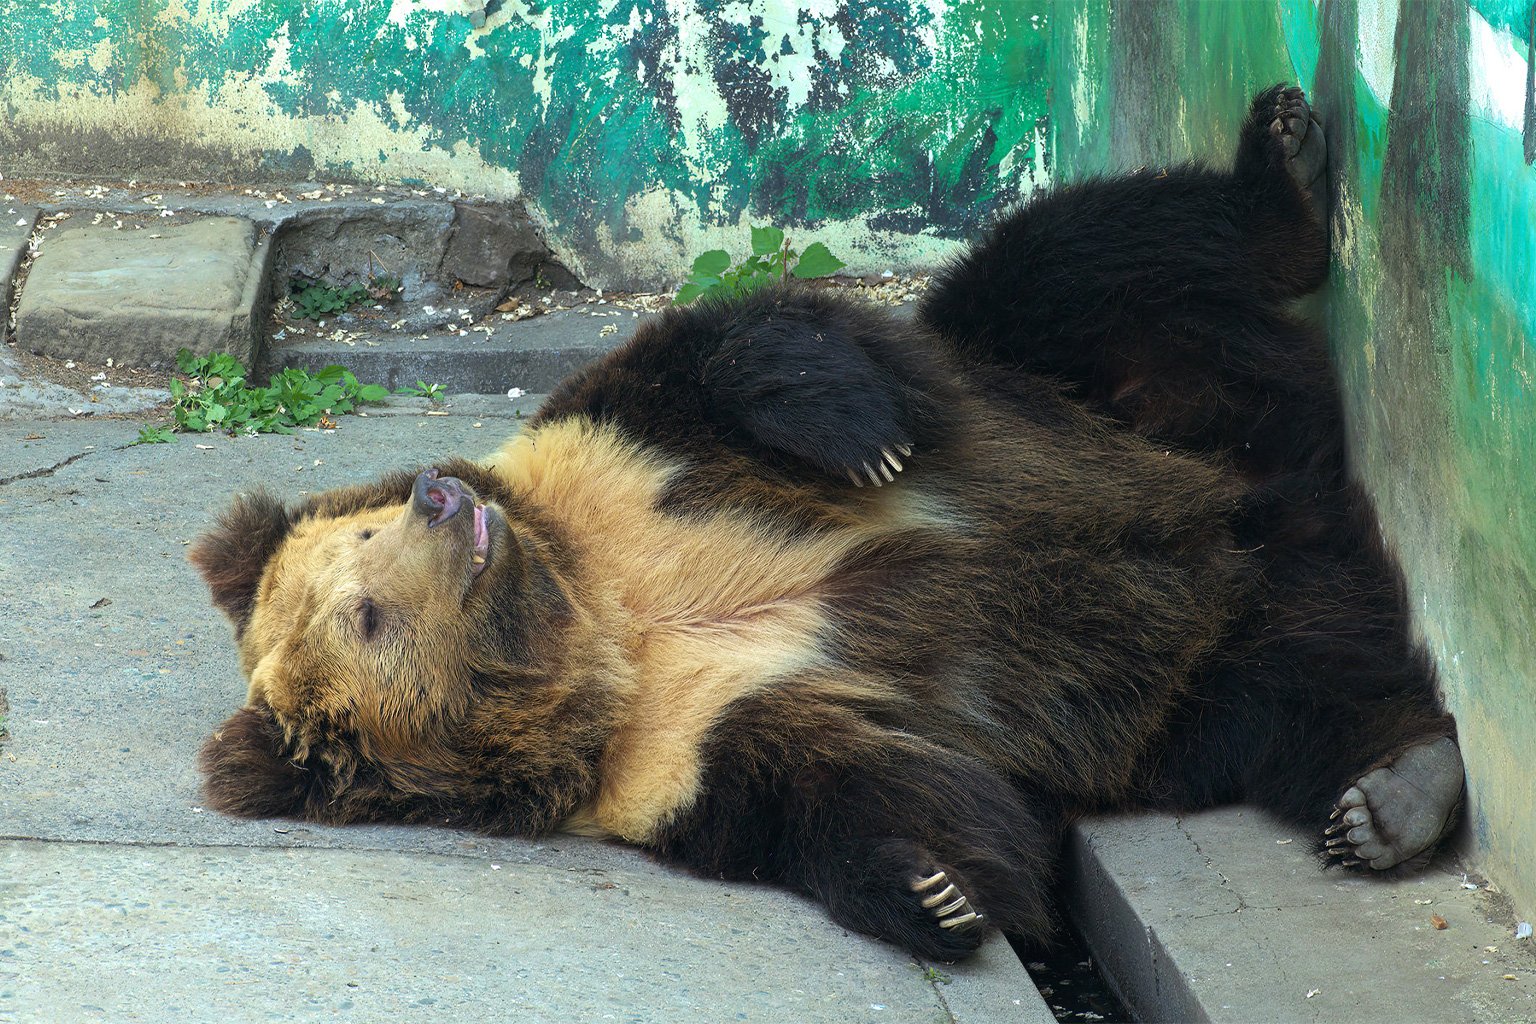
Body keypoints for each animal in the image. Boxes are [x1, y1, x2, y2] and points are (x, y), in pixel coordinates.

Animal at [192, 88, 1462, 964]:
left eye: (357, 537)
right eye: (364, 610)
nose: (440, 500)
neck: (596, 620)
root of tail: (1273, 493)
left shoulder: (626, 461)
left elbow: (739, 345)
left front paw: (862, 439)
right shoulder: (684, 746)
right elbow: (854, 795)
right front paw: (933, 889)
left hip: (1074, 383)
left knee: (1084, 252)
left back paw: (1283, 160)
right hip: (1179, 693)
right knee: (1291, 690)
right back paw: (1394, 790)